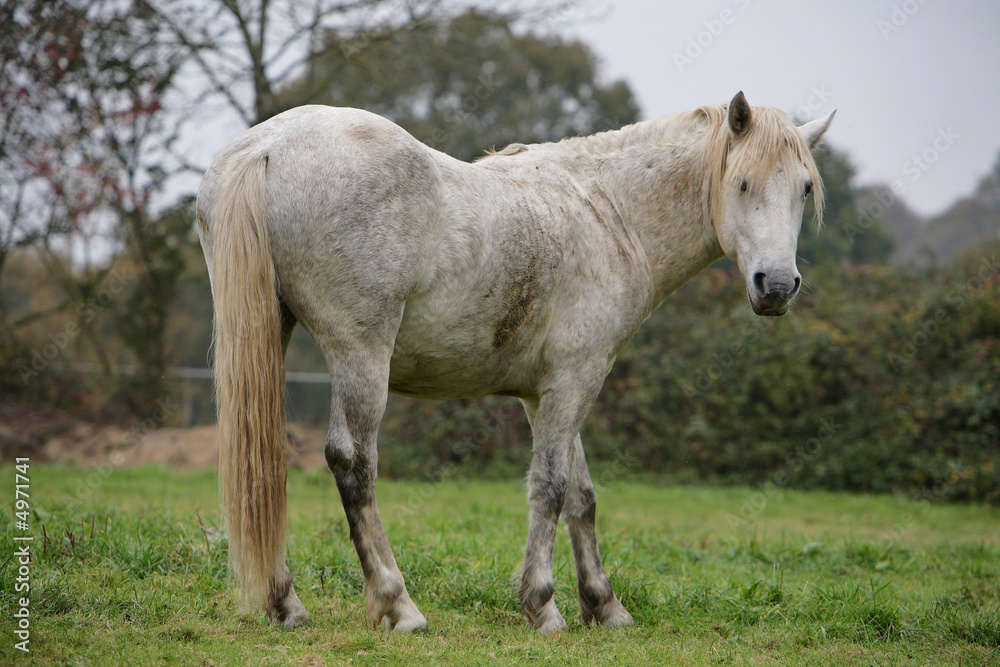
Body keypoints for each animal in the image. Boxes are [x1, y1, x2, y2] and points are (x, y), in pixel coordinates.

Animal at [195, 92, 836, 632]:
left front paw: (604, 607)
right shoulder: (576, 380)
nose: (778, 286)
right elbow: (551, 489)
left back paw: (285, 604)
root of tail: (266, 147)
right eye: (743, 183)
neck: (605, 212)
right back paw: (399, 606)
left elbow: (582, 495)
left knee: (265, 460)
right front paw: (544, 607)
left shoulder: (546, 392)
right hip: (361, 355)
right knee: (353, 463)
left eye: (805, 188)